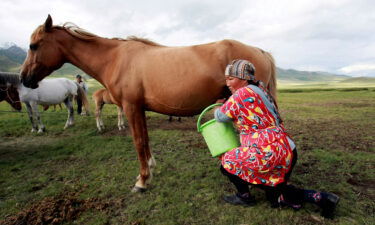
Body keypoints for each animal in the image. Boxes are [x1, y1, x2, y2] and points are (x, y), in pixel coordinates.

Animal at [20, 15, 280, 192]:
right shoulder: (138, 109)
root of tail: (260, 51)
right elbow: (144, 140)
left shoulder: (131, 108)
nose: (24, 78)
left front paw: (142, 181)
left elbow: (138, 143)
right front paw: (151, 169)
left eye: (34, 45)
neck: (115, 58)